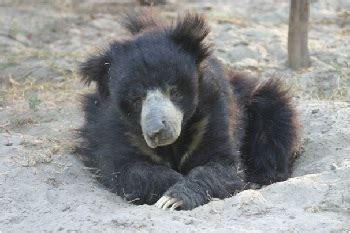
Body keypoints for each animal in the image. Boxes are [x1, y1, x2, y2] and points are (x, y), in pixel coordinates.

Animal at [76, 13, 298, 211]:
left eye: (173, 90)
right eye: (136, 99)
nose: (157, 131)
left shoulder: (212, 112)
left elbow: (223, 165)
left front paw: (175, 198)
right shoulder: (114, 127)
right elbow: (126, 170)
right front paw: (170, 187)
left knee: (274, 115)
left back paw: (260, 179)